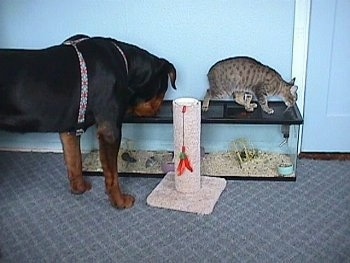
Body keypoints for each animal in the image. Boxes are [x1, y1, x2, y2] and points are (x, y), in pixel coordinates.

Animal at [0, 34, 175, 208]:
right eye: (163, 91)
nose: (158, 110)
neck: (126, 64)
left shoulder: (70, 129)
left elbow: (74, 161)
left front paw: (80, 188)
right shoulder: (109, 130)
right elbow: (112, 175)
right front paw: (120, 201)